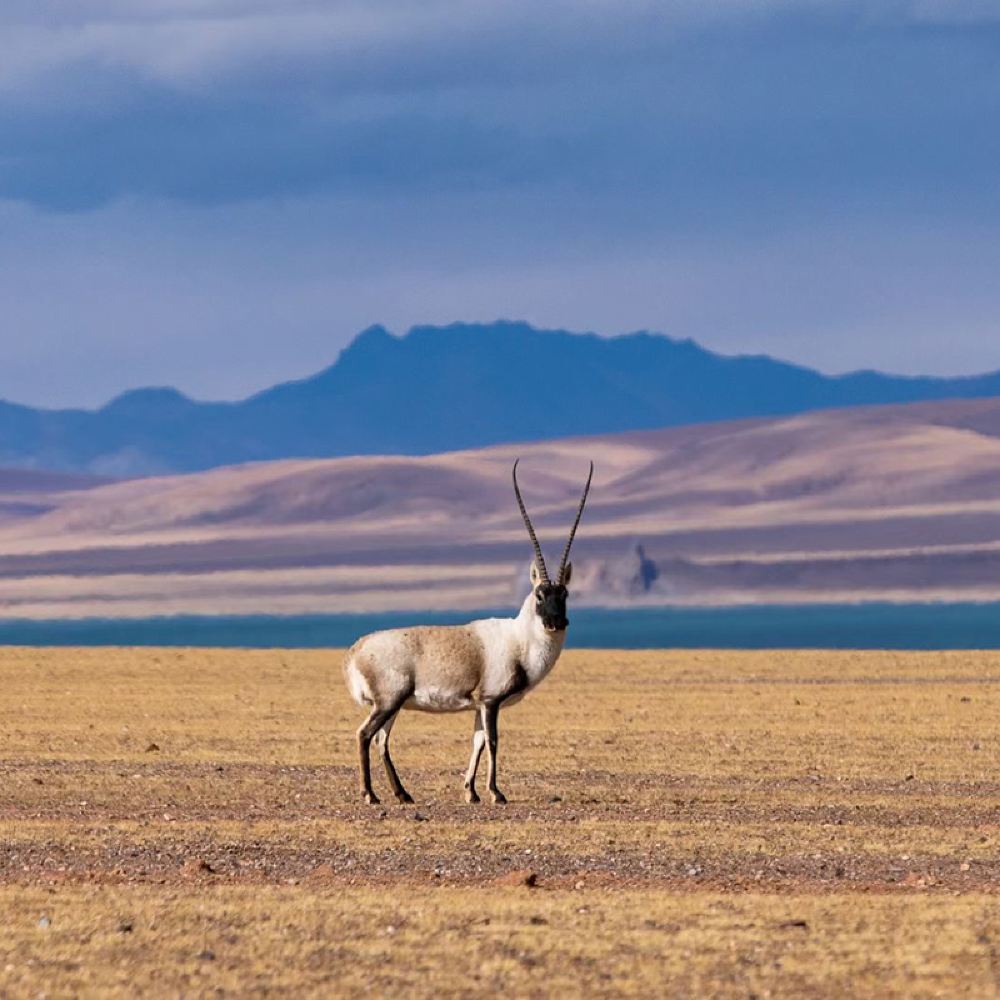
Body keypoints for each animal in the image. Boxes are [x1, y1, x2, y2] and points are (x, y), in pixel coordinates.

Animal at [344, 460, 592, 804]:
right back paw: (370, 794)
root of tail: (356, 651)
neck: (520, 641)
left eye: (565, 594)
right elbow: (493, 741)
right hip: (388, 701)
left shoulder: (478, 704)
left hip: (390, 706)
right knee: (365, 734)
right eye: (540, 595)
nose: (556, 623)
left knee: (381, 739)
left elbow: (477, 742)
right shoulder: (490, 702)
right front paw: (496, 793)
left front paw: (471, 792)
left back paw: (403, 794)